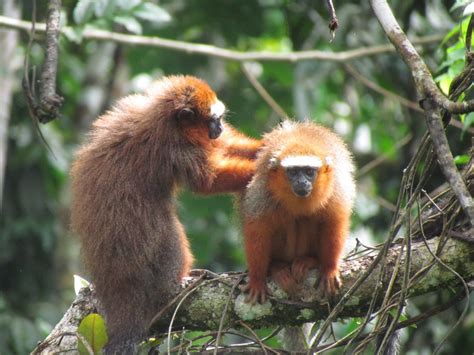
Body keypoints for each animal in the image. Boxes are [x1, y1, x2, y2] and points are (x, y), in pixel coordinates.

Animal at [70, 75, 262, 354]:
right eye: (213, 120)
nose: (219, 128)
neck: (163, 121)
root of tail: (115, 279)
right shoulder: (176, 150)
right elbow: (208, 181)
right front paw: (262, 166)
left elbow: (224, 147)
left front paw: (264, 147)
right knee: (164, 228)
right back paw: (175, 282)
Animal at [241, 121, 356, 304]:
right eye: (293, 172)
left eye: (309, 172)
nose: (301, 182)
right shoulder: (262, 193)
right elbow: (257, 229)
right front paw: (257, 279)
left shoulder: (336, 189)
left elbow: (334, 221)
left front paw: (329, 268)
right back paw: (277, 266)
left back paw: (308, 261)